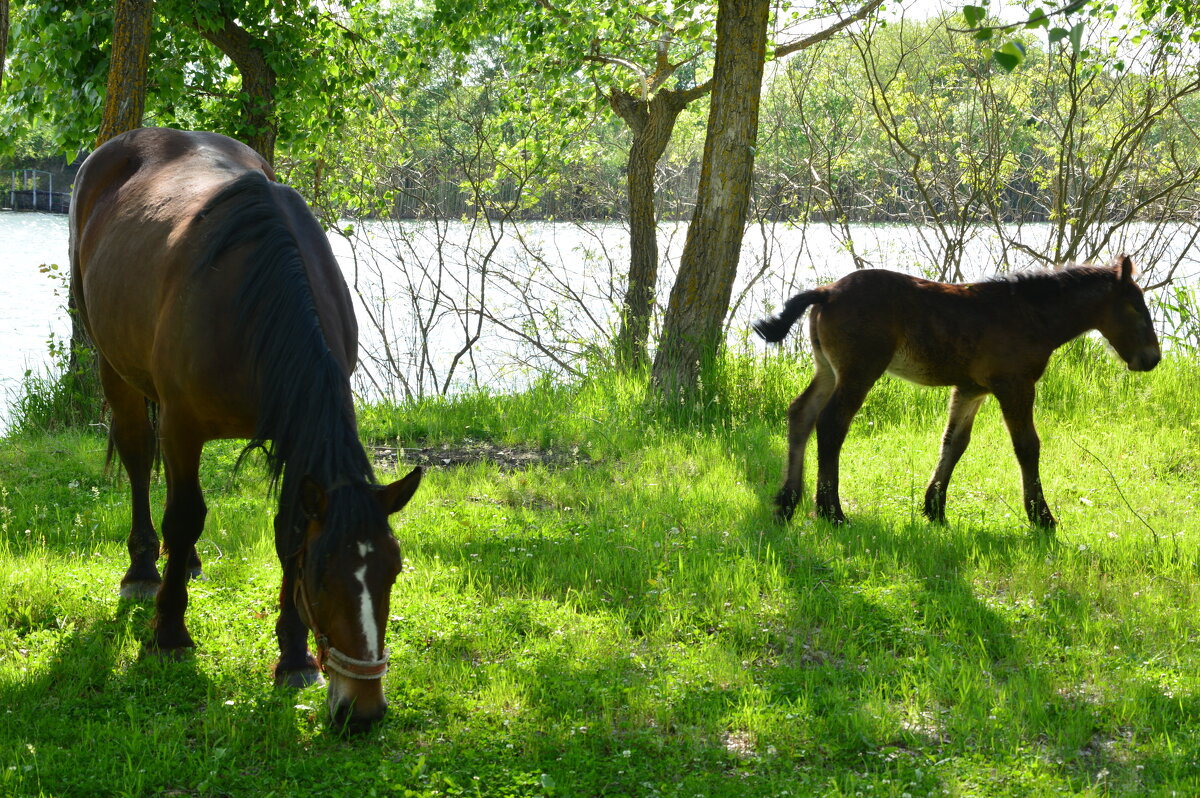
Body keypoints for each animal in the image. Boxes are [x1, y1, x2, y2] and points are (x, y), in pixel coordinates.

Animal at [70, 126, 424, 734]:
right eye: (322, 577)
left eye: (392, 572)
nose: (363, 712)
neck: (250, 302)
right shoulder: (183, 425)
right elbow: (184, 514)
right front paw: (169, 634)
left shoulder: (293, 439)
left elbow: (287, 529)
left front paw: (293, 657)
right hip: (114, 368)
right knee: (139, 460)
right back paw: (144, 568)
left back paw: (184, 564)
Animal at [753, 256, 1156, 528]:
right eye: (1135, 307)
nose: (1152, 357)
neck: (1030, 316)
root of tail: (826, 292)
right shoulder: (1014, 385)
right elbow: (1028, 446)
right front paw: (1042, 517)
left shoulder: (971, 389)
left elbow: (955, 442)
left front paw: (934, 508)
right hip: (859, 370)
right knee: (831, 424)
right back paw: (831, 512)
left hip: (827, 369)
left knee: (801, 413)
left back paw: (787, 502)